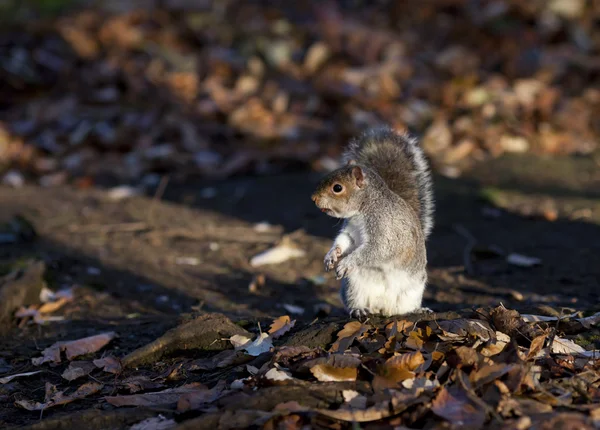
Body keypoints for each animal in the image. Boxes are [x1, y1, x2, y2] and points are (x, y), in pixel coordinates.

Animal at [312, 126, 434, 318]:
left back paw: (418, 310)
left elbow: (376, 249)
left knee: (403, 308)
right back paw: (359, 309)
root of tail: (384, 308)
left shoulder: (385, 231)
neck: (363, 210)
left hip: (412, 289)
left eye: (337, 188)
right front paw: (331, 255)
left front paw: (346, 262)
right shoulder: (351, 231)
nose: (313, 198)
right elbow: (344, 241)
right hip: (354, 286)